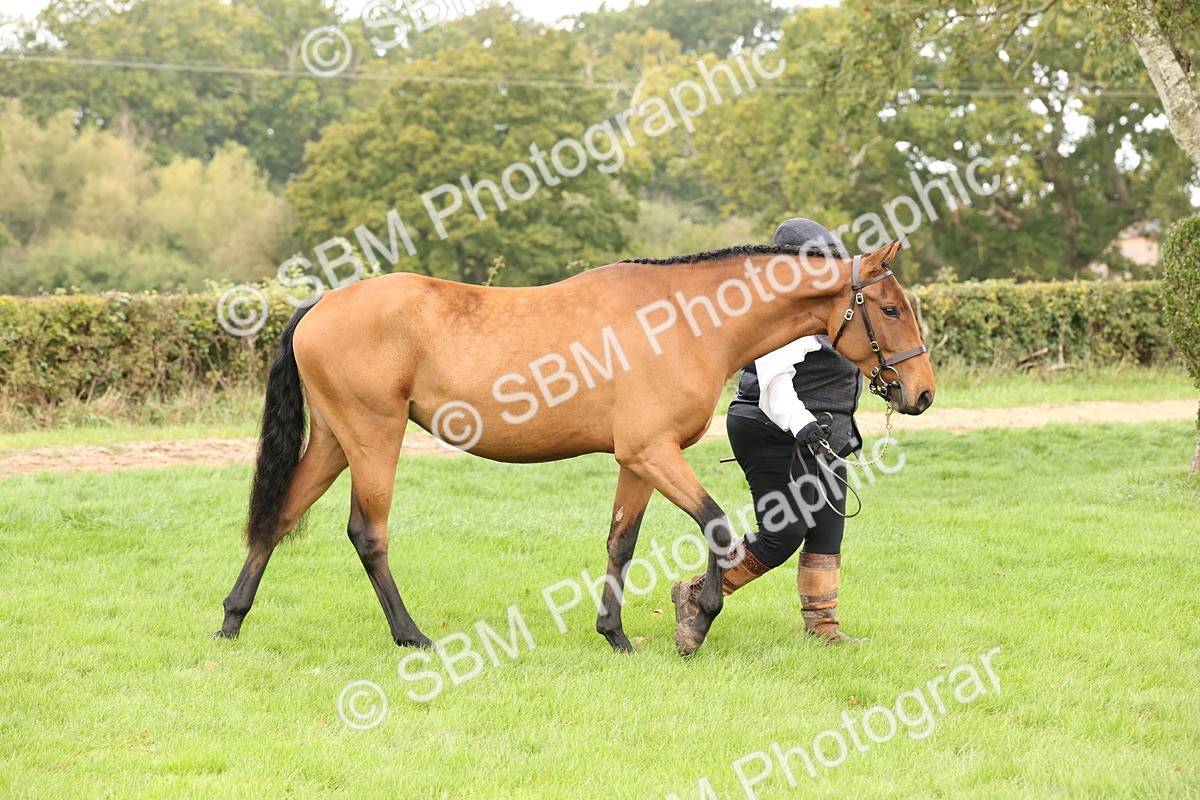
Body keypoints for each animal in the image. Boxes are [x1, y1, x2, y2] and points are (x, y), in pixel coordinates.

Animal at [212, 239, 934, 656]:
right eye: (890, 309)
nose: (922, 392)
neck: (684, 319)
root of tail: (322, 303)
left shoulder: (637, 460)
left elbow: (622, 541)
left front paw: (615, 634)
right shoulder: (654, 452)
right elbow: (718, 526)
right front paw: (697, 620)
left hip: (336, 441)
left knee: (279, 517)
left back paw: (232, 620)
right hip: (373, 438)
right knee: (368, 533)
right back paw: (410, 636)